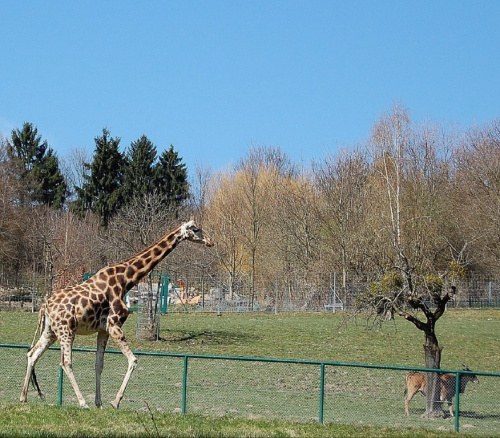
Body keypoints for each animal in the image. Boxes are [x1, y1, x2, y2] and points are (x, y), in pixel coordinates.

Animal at [20, 217, 213, 408]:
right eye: (195, 229)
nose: (210, 241)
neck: (125, 280)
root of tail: (45, 305)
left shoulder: (103, 329)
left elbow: (99, 364)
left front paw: (99, 403)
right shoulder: (114, 324)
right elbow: (133, 360)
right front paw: (115, 401)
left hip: (51, 331)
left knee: (32, 354)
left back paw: (23, 397)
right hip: (66, 330)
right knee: (65, 362)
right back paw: (82, 402)